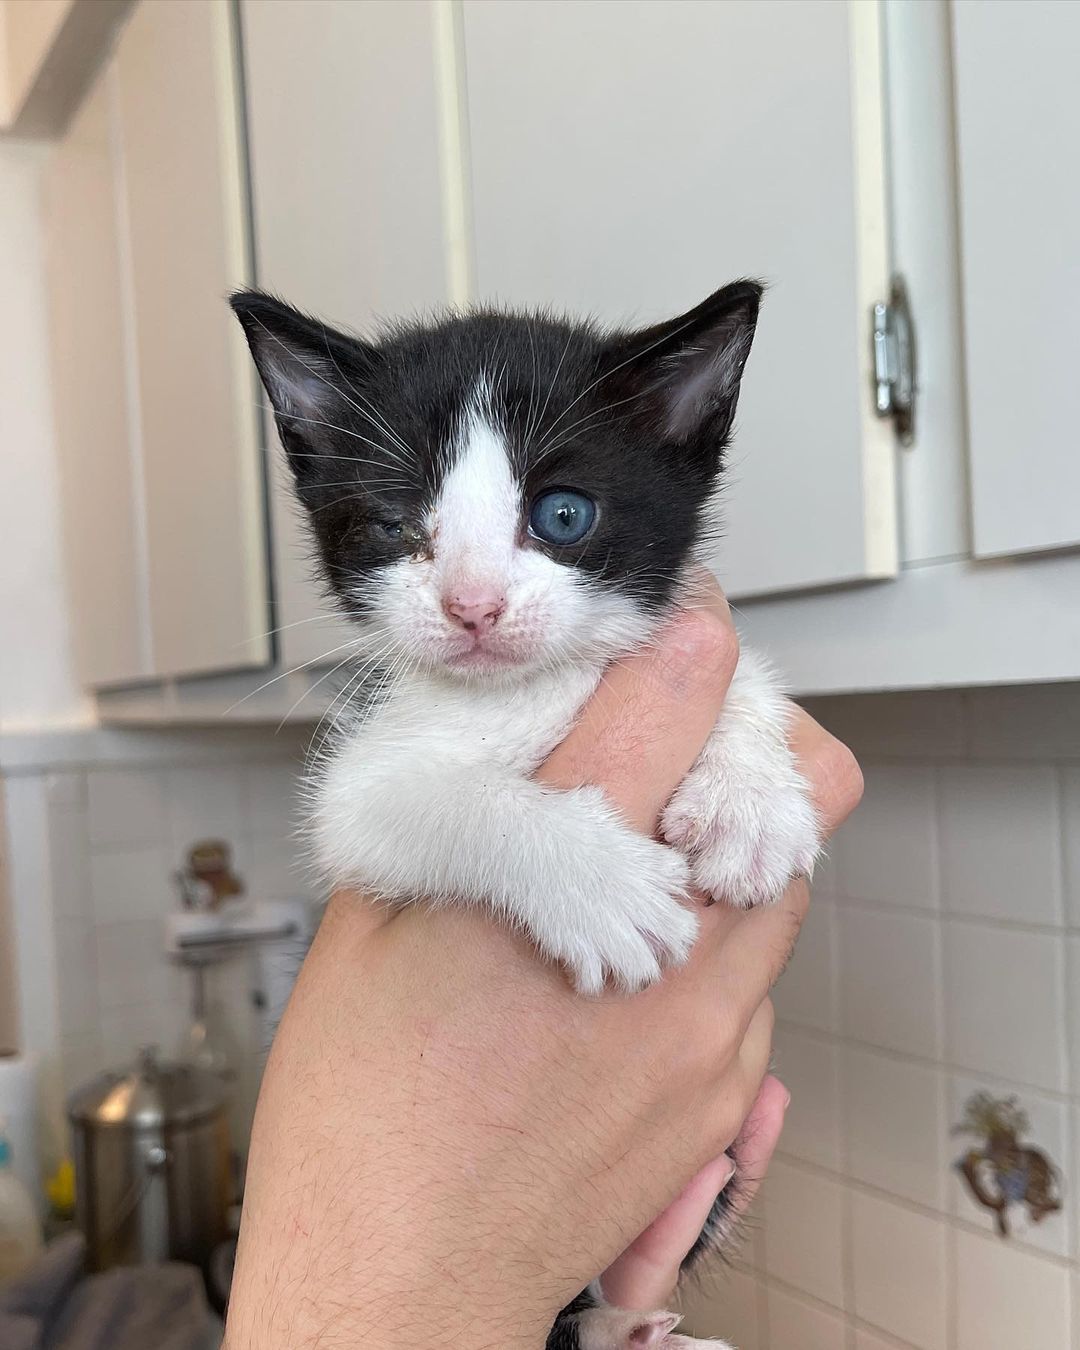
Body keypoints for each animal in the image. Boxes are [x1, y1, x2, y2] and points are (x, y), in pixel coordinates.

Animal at [229, 284, 820, 1350]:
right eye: (393, 522)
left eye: (563, 514)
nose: (473, 605)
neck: (527, 690)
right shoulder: (357, 787)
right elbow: (432, 803)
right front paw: (600, 887)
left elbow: (739, 672)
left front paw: (750, 802)